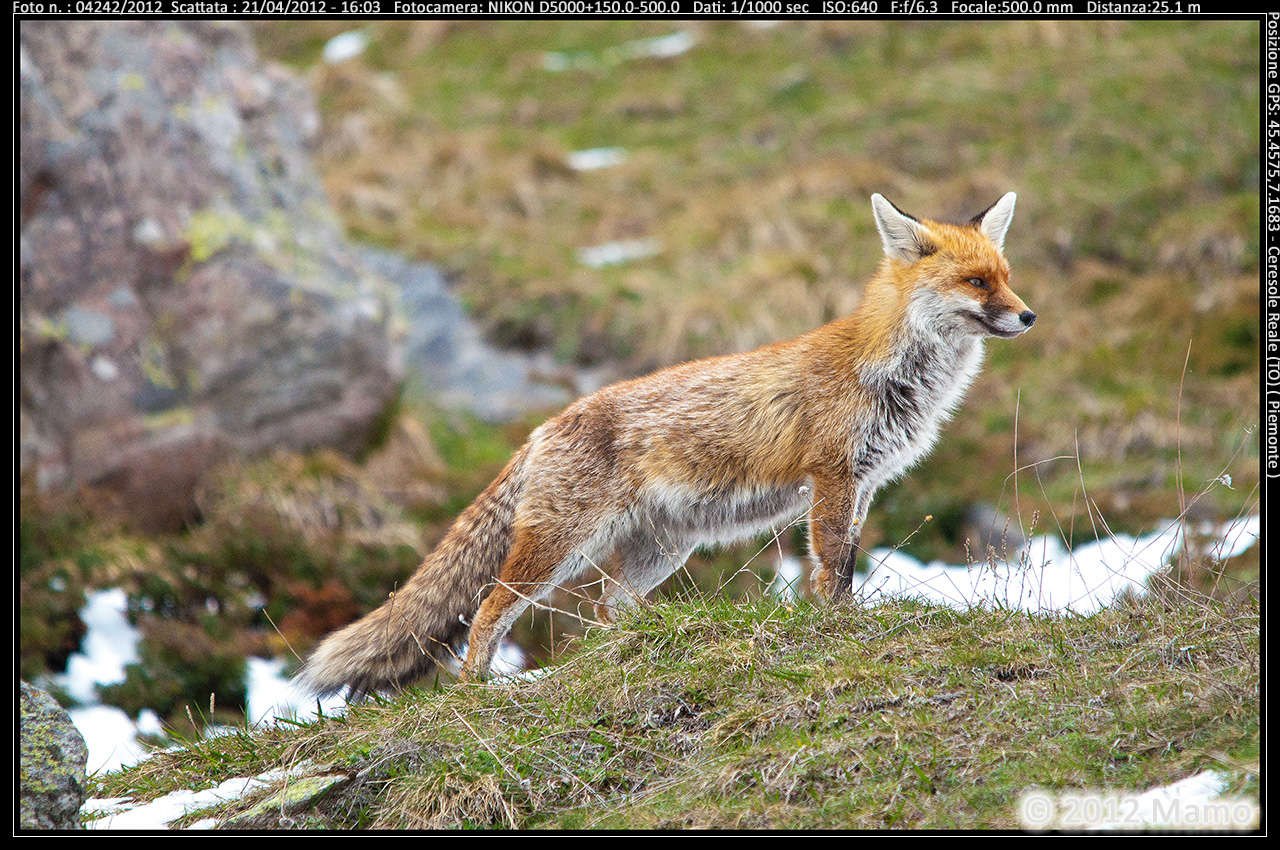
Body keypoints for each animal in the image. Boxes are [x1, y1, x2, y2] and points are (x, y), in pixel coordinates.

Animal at [295, 191, 1036, 697]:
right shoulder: (832, 477)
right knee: (489, 609)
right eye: (976, 283)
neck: (889, 372)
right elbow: (830, 567)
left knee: (606, 606)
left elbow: (848, 561)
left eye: (1005, 274)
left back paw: (623, 651)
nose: (1029, 316)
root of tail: (542, 428)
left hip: (660, 551)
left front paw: (845, 619)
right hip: (561, 547)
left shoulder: (864, 484)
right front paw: (836, 628)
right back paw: (478, 692)